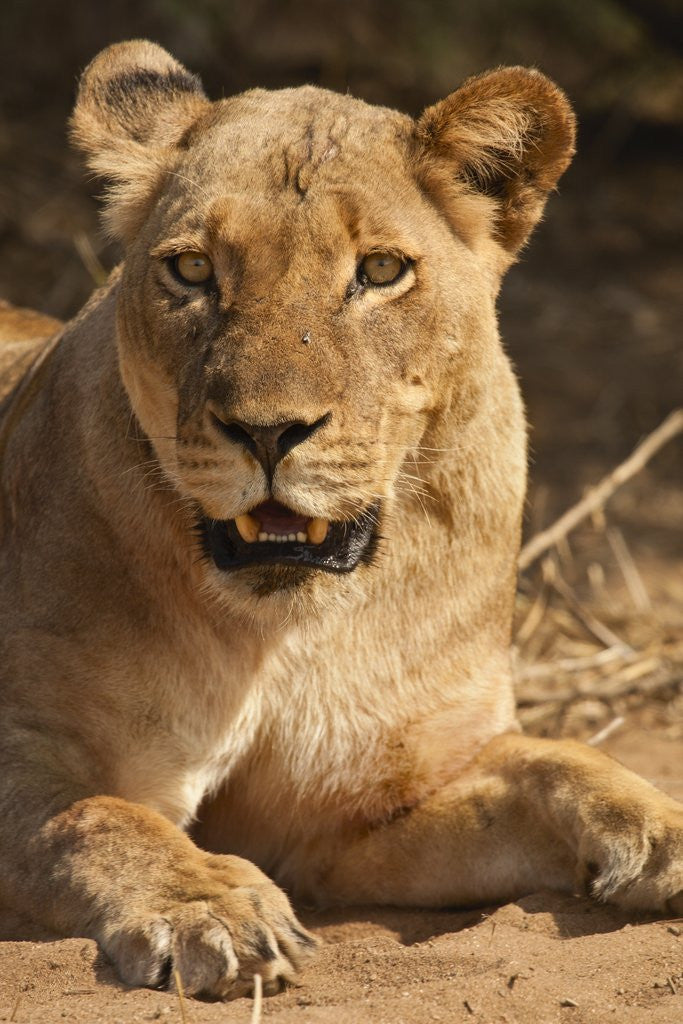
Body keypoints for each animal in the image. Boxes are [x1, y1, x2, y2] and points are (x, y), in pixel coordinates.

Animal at [0, 40, 681, 1001]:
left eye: (380, 271)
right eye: (193, 270)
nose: (266, 431)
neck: (281, 634)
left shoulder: (348, 820)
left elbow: (540, 762)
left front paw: (656, 825)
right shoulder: (36, 749)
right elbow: (94, 817)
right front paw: (207, 905)